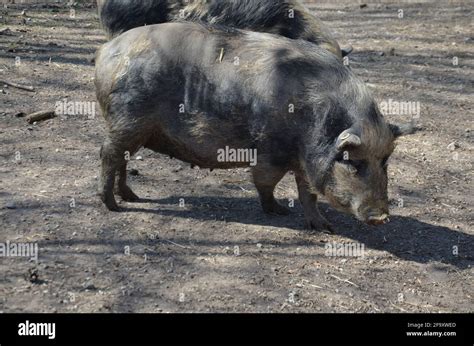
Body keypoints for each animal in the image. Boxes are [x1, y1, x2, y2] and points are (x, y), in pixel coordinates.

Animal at [95, 23, 414, 231]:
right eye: (351, 161)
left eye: (385, 161)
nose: (381, 217)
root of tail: (106, 50)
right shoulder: (269, 150)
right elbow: (265, 183)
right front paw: (278, 212)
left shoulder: (304, 160)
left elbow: (307, 193)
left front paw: (324, 227)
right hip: (127, 120)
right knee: (107, 154)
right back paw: (113, 205)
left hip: (134, 129)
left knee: (122, 160)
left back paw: (131, 196)